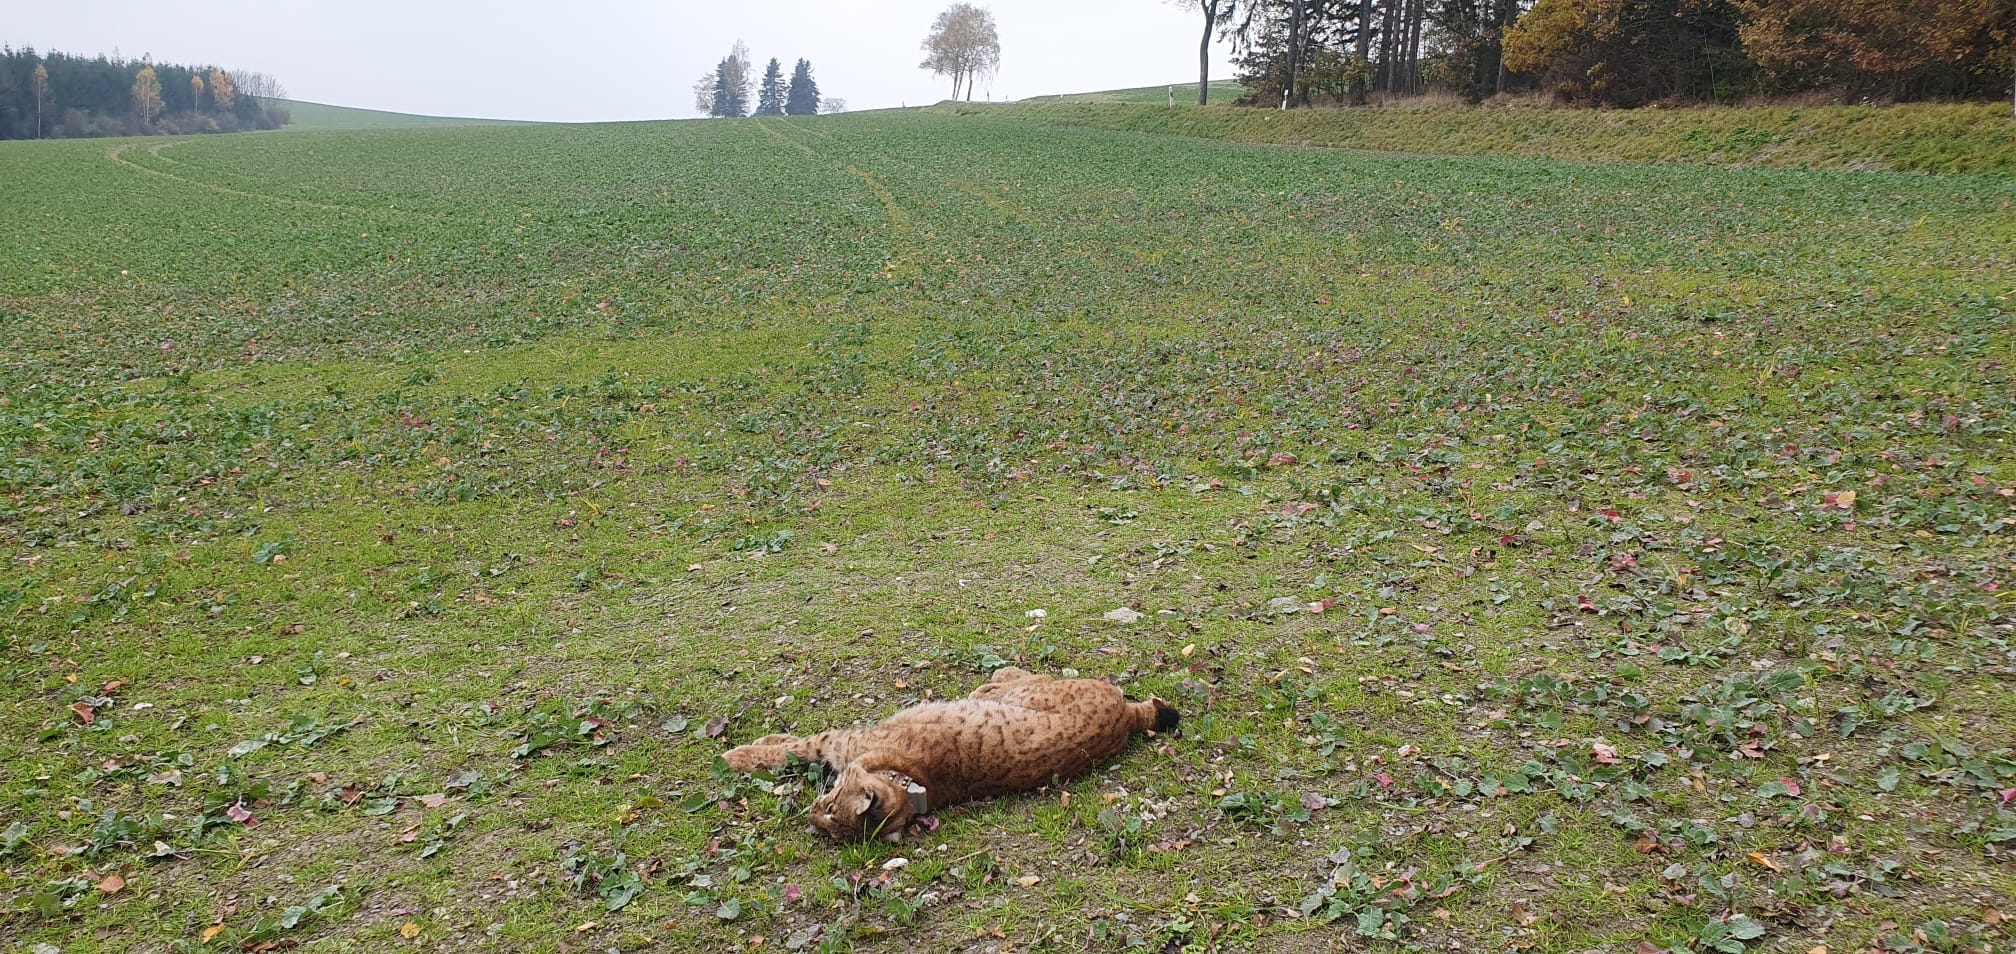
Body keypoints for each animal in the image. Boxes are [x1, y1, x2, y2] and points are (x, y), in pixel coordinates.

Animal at [721, 667, 1179, 840]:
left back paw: (990, 679)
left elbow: (795, 748)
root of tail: (1126, 719)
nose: (811, 818)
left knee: (1019, 677)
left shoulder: (840, 741)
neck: (911, 783)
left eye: (831, 813)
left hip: (1026, 693)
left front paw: (736, 756)